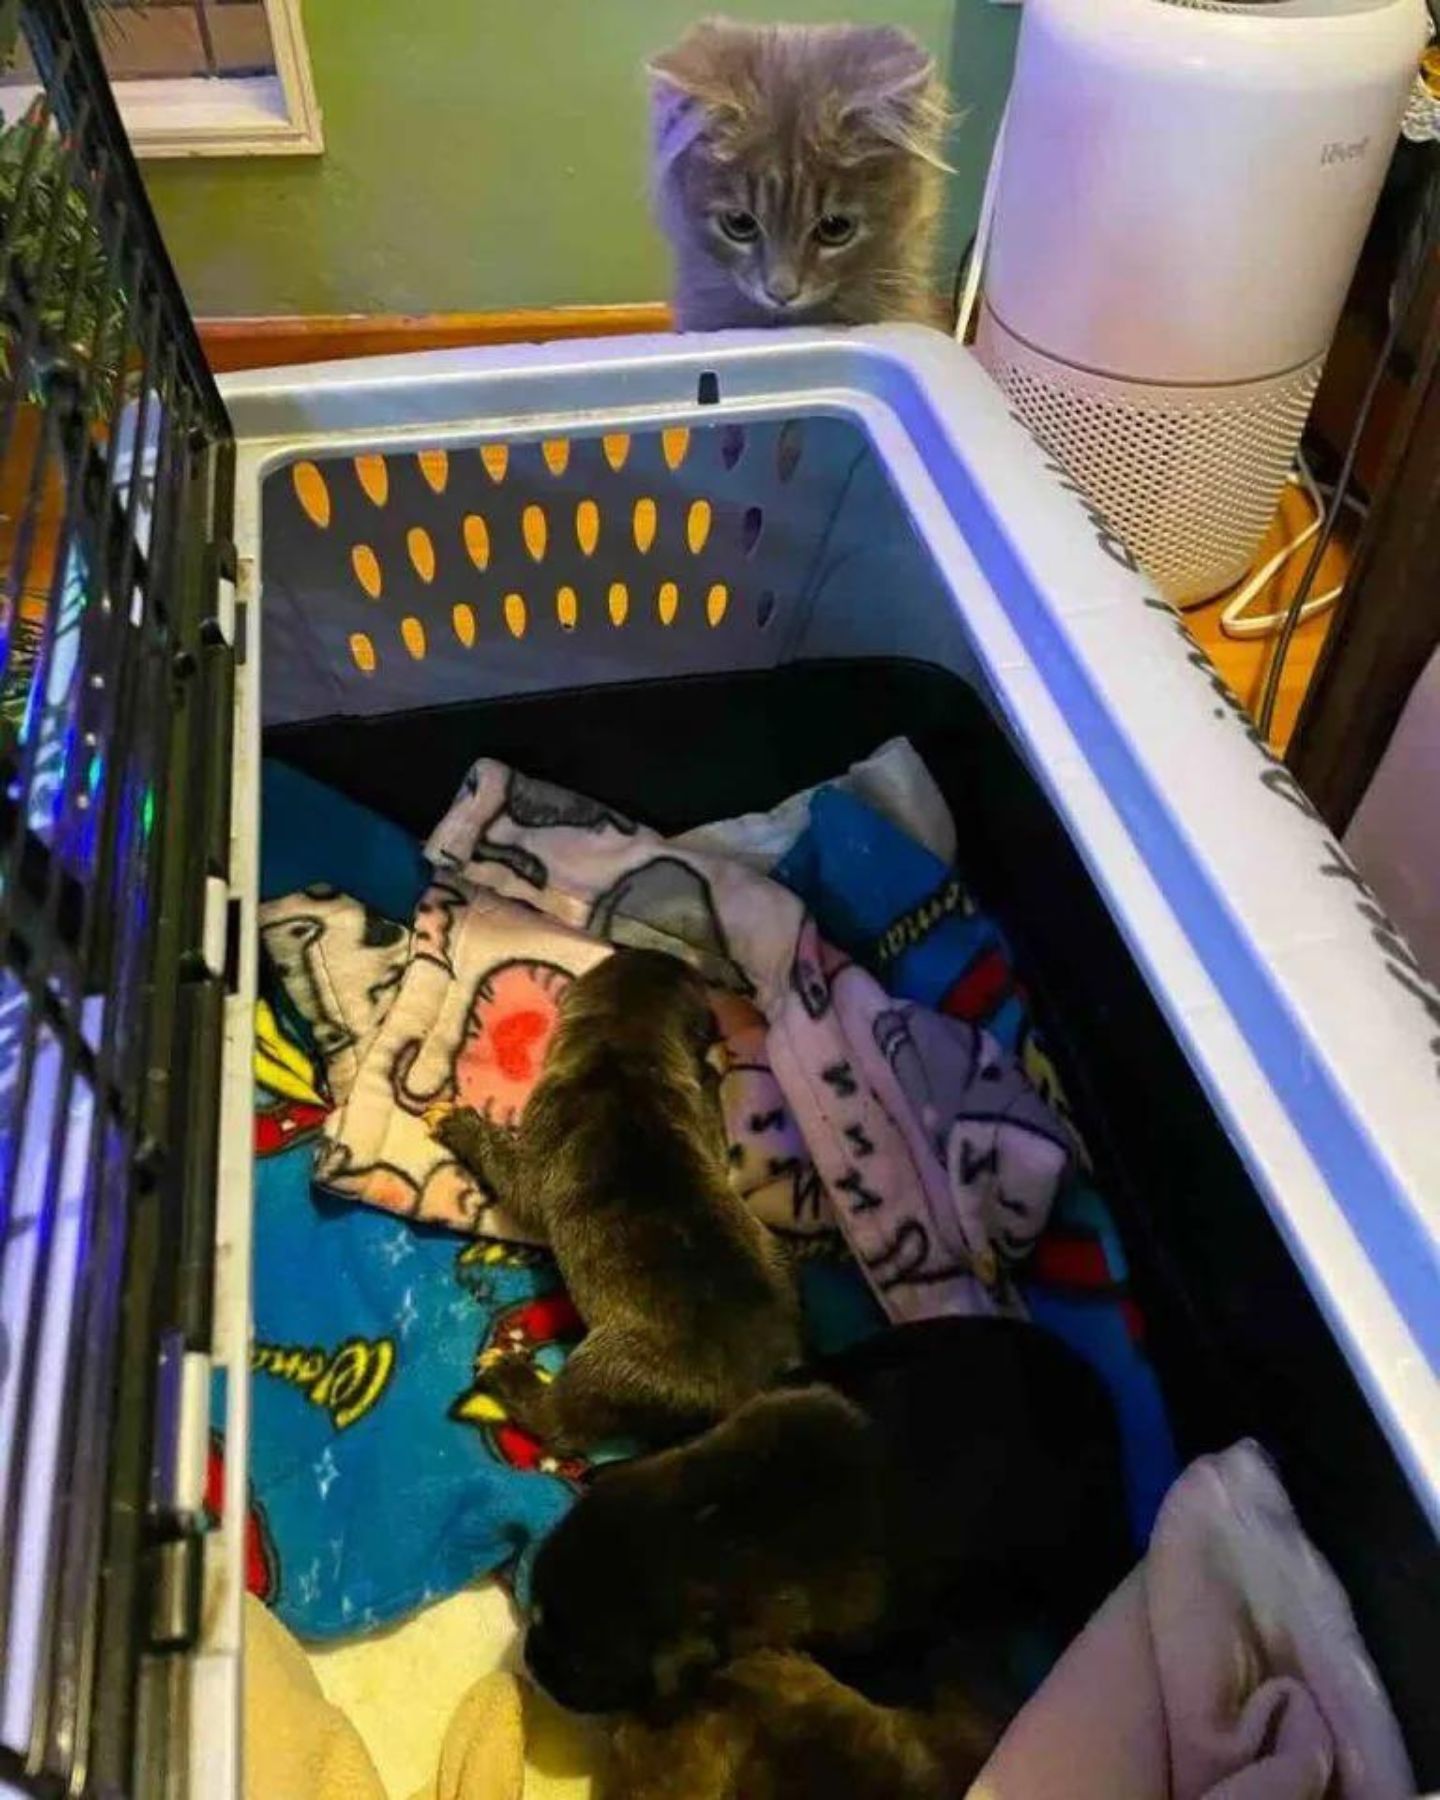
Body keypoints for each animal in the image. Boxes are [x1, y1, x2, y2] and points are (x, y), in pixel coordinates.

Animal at [433, 950, 802, 1454]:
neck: (622, 1048)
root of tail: (755, 1391)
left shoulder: (540, 1136)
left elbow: (512, 1177)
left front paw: (462, 1125)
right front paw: (709, 1074)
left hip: (606, 1368)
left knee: (559, 1423)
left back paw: (508, 1374)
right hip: (778, 1257)